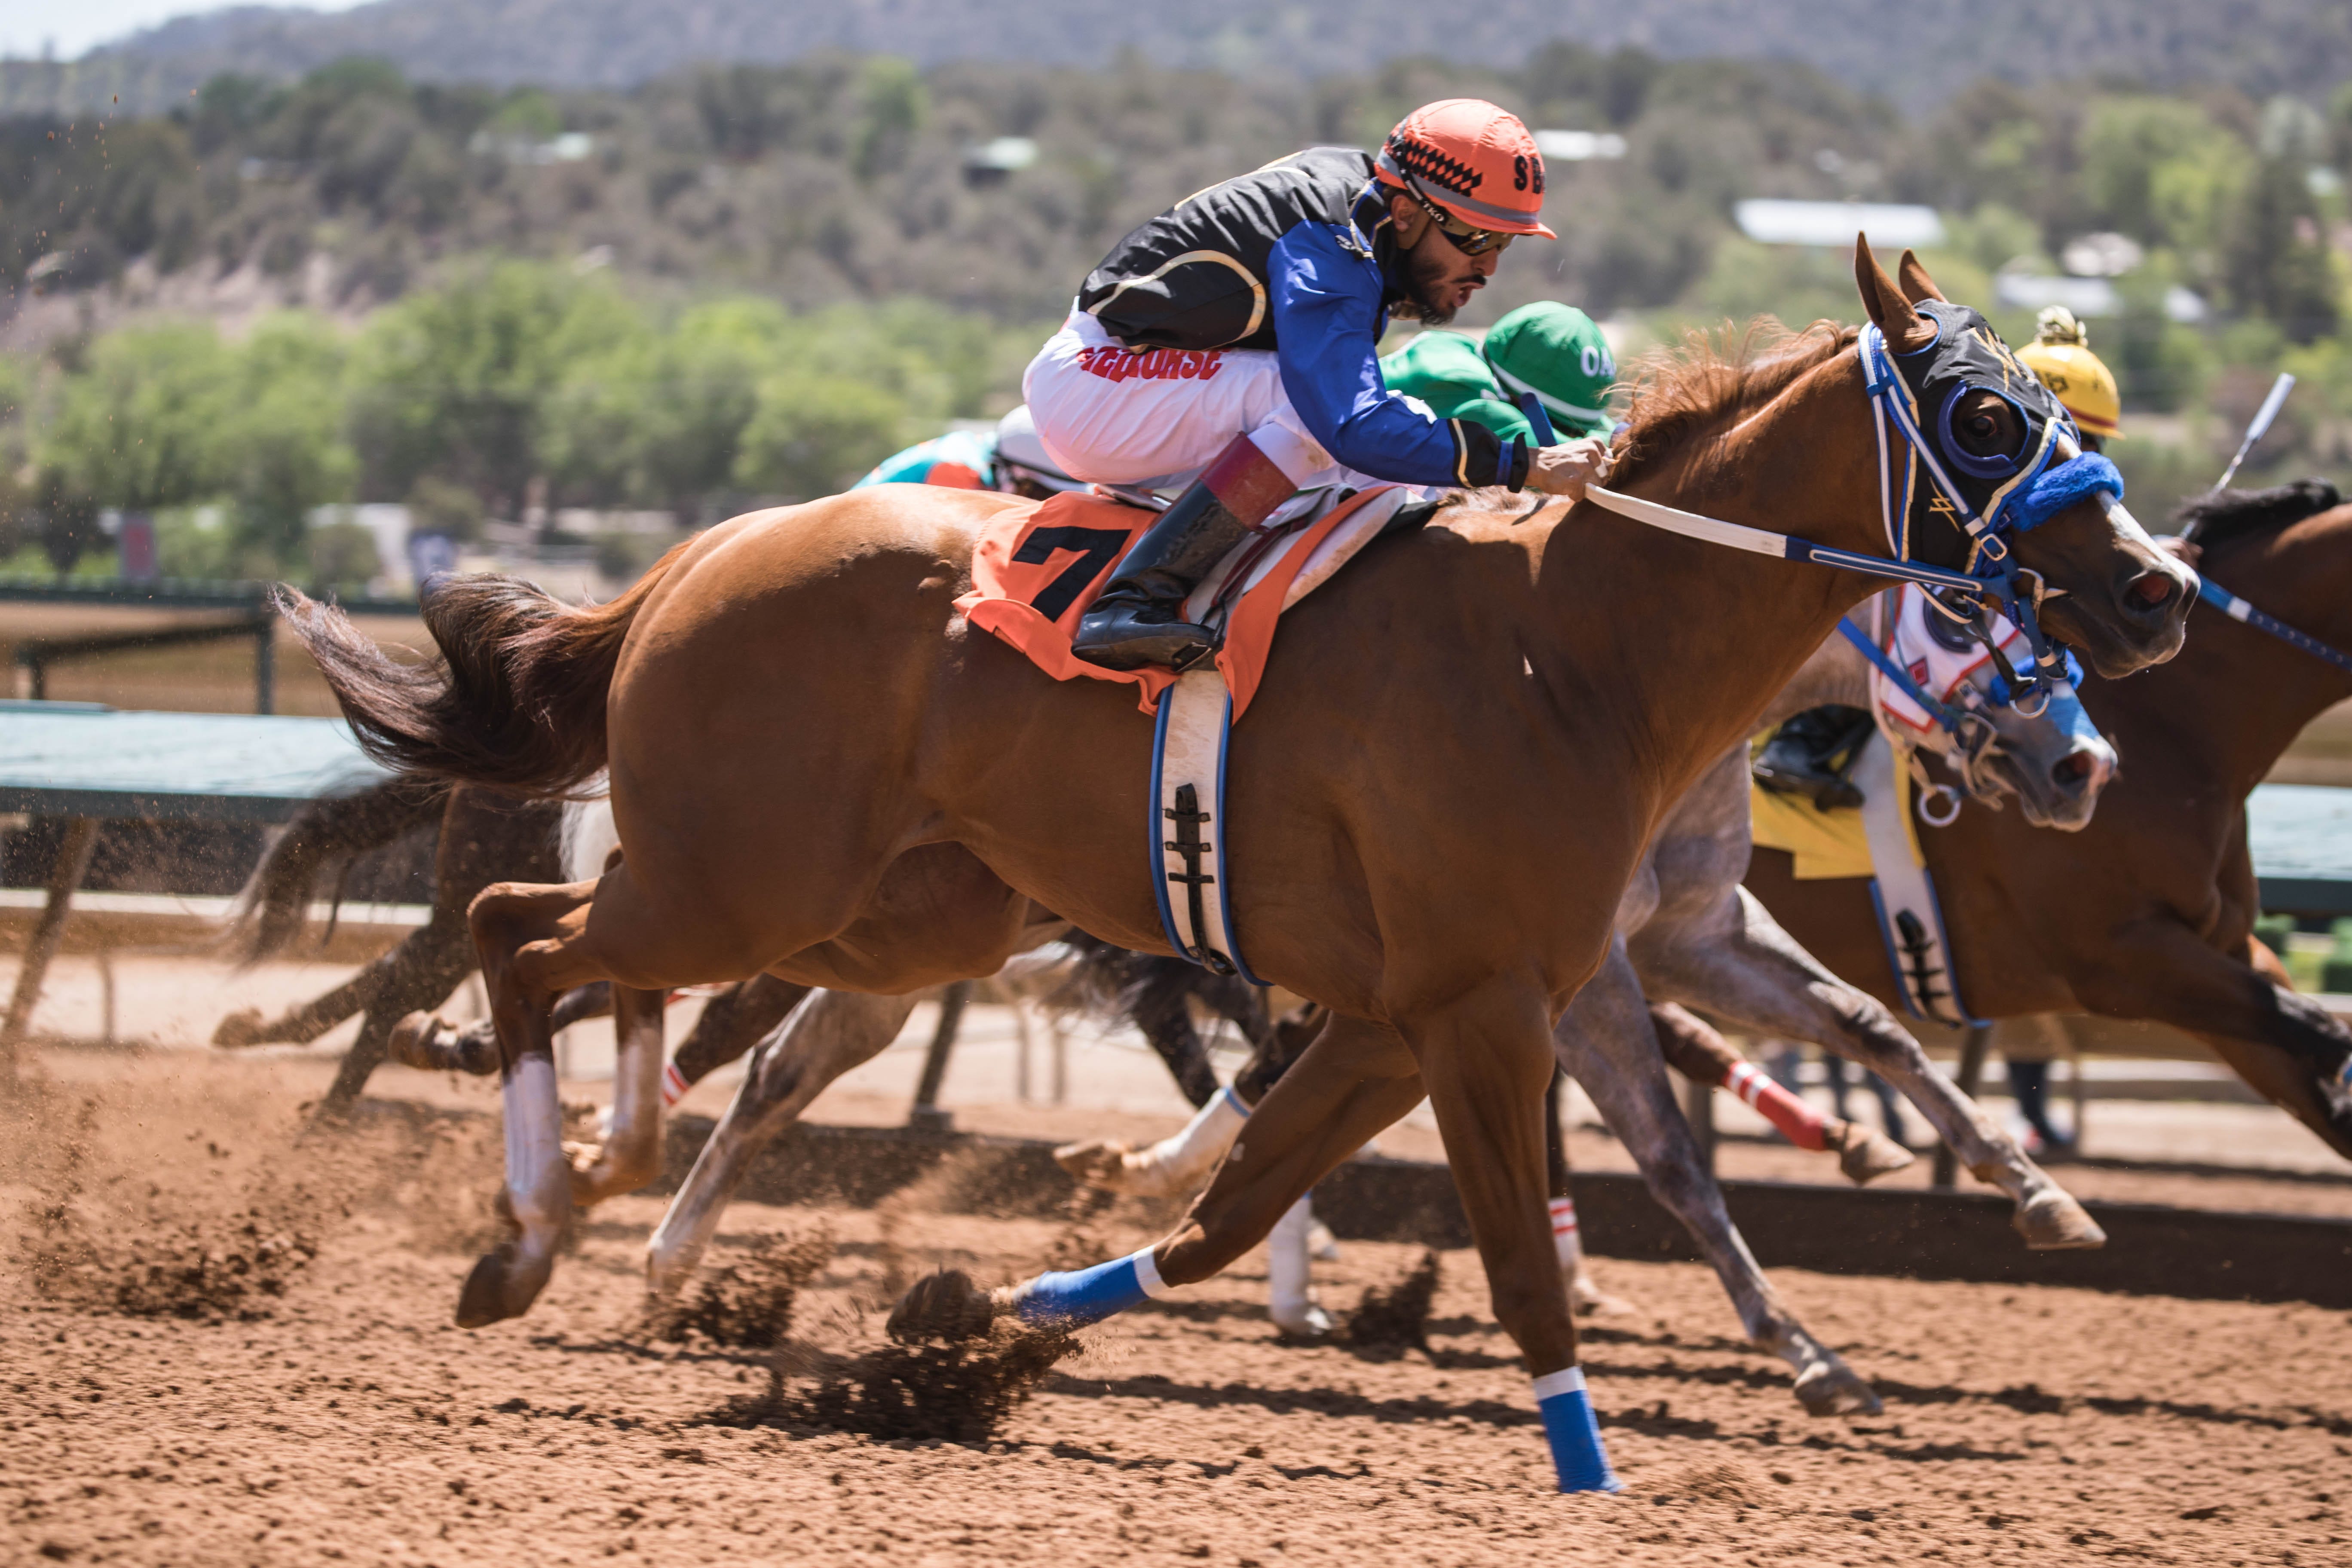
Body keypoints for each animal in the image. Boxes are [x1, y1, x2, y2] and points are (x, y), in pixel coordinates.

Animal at [285, 245, 2192, 1457]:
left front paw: (985, 1313)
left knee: (640, 994)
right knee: (527, 933)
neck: (1574, 642)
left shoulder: (1428, 1005)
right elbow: (1527, 1251)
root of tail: (698, 556)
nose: (2154, 594)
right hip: (737, 874)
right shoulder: (1488, 1000)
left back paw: (603, 1196)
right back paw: (532, 1226)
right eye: (1982, 418)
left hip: (883, 916)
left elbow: (1232, 1208)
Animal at [1750, 484, 2352, 1161]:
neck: (2169, 728)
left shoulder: (2224, 949)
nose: (2084, 769)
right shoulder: (2119, 960)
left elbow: (2315, 1066)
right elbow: (2322, 1031)